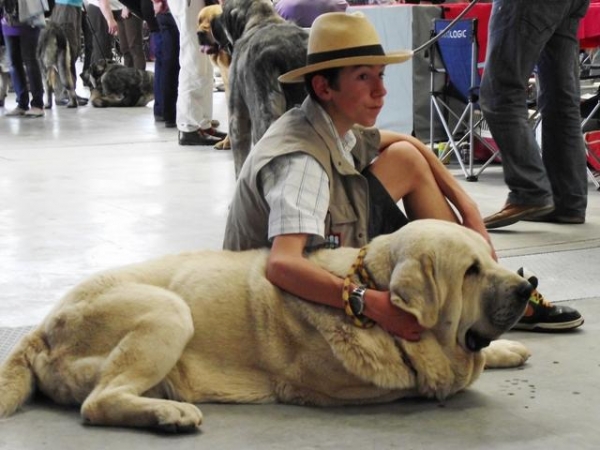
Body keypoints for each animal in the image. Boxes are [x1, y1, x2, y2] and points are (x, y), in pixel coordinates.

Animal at [1, 221, 536, 432]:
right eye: (470, 272)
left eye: (490, 259)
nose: (526, 286)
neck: (369, 289)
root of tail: (39, 329)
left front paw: (507, 349)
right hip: (169, 311)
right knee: (97, 403)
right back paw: (169, 414)